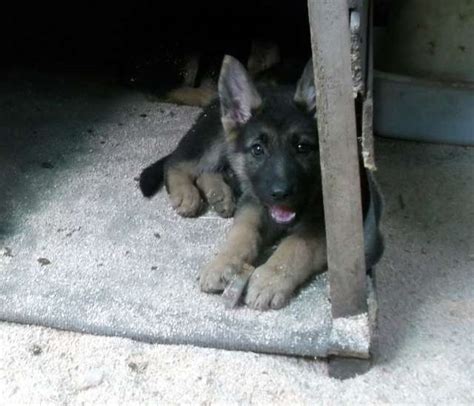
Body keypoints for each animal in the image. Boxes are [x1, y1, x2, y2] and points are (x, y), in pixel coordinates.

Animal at [139, 54, 380, 310]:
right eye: (257, 149)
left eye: (302, 147)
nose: (280, 193)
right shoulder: (254, 202)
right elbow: (243, 232)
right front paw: (223, 261)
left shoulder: (331, 226)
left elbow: (296, 245)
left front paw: (269, 279)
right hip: (215, 140)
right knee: (177, 162)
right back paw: (186, 194)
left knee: (209, 170)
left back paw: (219, 194)